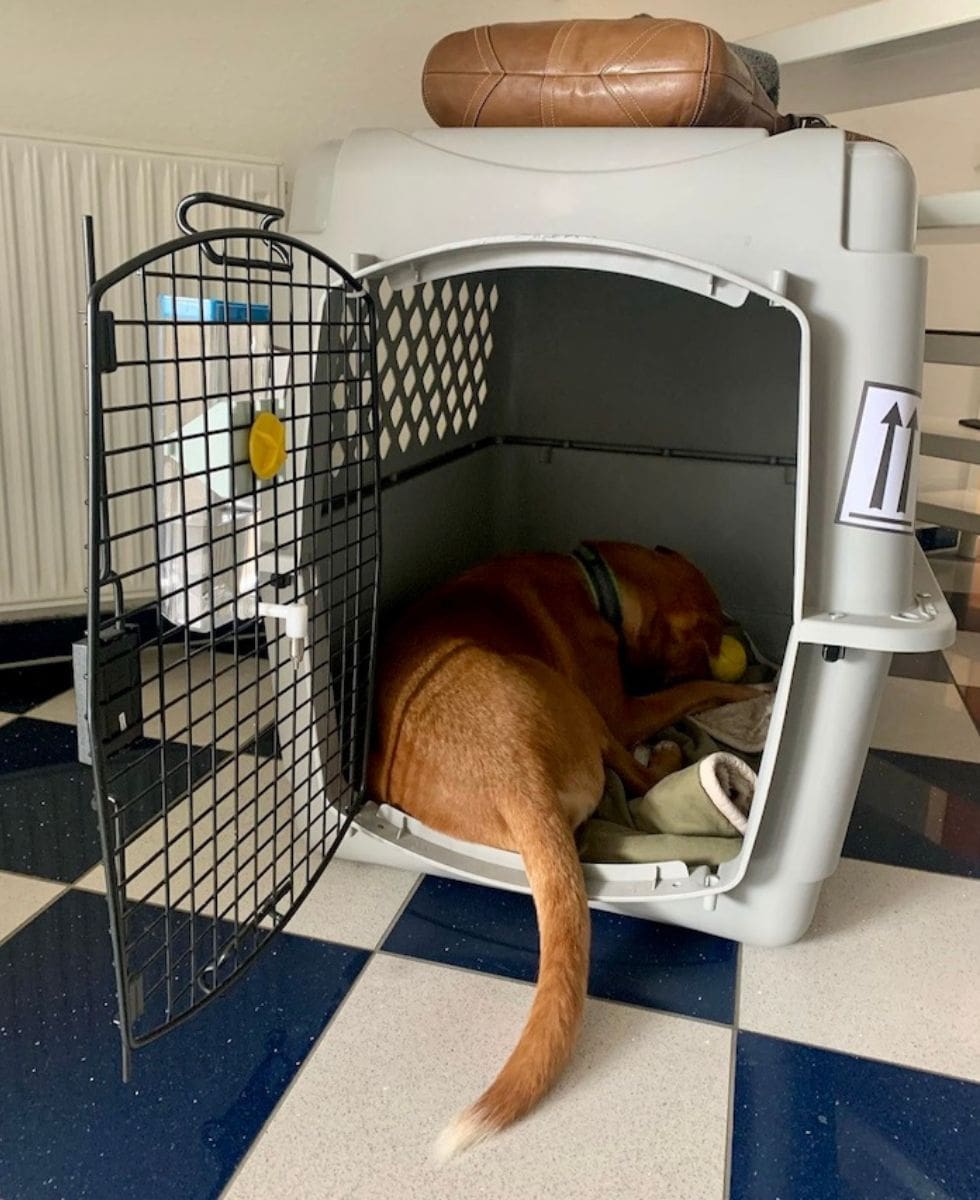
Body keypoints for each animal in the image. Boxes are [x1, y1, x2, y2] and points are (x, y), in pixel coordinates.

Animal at [367, 542, 758, 1152]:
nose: (744, 652)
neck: (597, 581)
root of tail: (516, 780)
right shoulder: (625, 709)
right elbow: (690, 693)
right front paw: (751, 690)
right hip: (575, 700)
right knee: (641, 779)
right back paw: (668, 754)